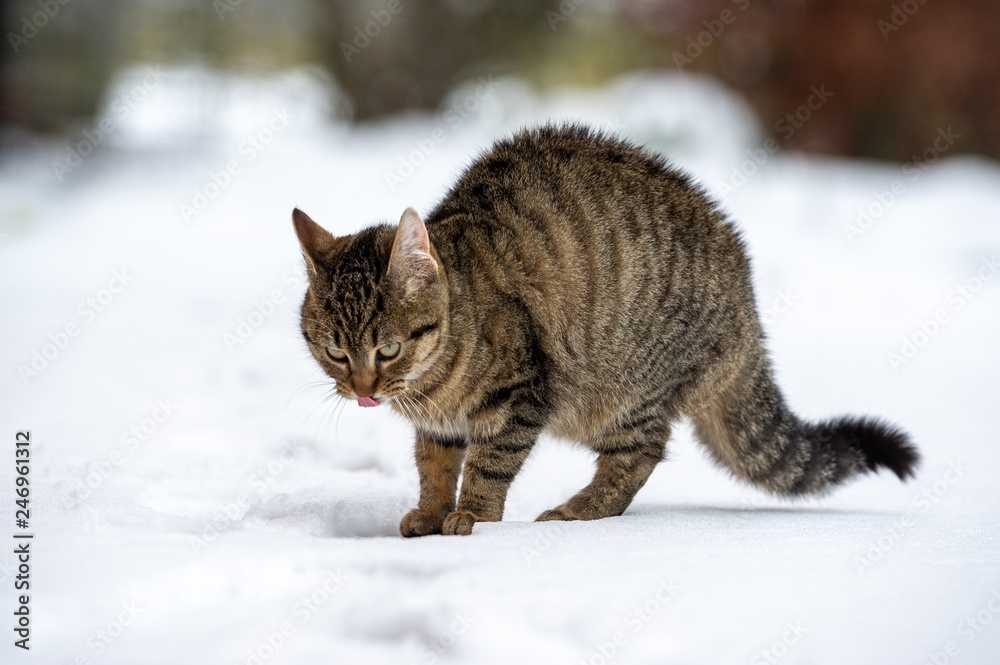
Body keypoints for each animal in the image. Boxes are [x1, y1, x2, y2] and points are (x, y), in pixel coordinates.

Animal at [288, 126, 916, 540]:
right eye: (335, 353)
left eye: (388, 349)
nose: (364, 390)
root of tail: (747, 304)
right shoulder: (439, 424)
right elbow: (434, 465)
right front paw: (431, 509)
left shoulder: (520, 396)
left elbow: (489, 464)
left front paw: (474, 518)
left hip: (623, 392)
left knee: (641, 453)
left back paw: (576, 513)